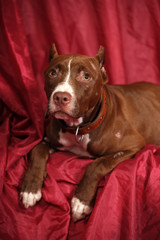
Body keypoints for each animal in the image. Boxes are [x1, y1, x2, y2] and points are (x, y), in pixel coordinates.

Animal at [20, 44, 160, 221]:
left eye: (86, 76)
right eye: (53, 73)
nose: (60, 97)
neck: (78, 129)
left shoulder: (133, 145)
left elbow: (97, 164)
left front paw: (81, 201)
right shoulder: (50, 140)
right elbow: (37, 150)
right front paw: (30, 189)